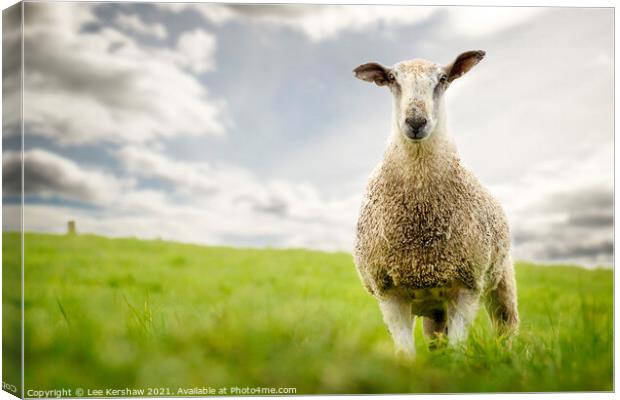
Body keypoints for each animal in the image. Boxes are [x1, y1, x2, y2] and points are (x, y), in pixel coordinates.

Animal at [354, 51, 520, 358]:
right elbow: (406, 356)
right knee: (436, 341)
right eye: (392, 79)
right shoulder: (389, 292)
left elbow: (457, 352)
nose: (416, 121)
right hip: (434, 309)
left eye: (443, 79)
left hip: (501, 279)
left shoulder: (467, 287)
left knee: (507, 326)